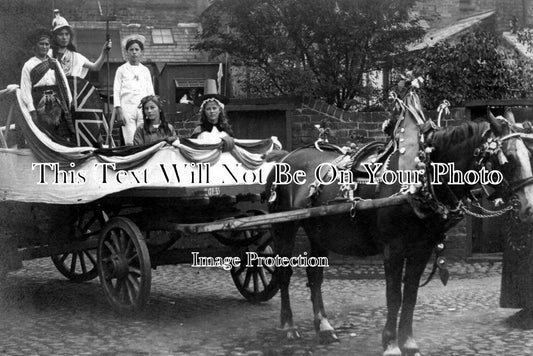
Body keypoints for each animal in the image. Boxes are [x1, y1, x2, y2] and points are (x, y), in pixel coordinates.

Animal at [266, 101, 533, 354]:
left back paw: (324, 327)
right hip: (284, 229)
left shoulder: (422, 249)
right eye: (507, 159)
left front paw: (409, 343)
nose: (529, 206)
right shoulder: (393, 250)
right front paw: (391, 344)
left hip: (319, 233)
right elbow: (394, 297)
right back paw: (288, 326)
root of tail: (285, 157)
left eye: (528, 154)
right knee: (284, 274)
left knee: (315, 275)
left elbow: (411, 296)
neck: (420, 177)